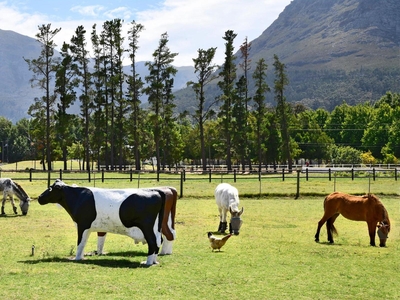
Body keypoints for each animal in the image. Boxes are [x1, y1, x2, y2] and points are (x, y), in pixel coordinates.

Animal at [38, 178, 166, 264]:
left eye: (50, 188)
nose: (39, 198)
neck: (78, 197)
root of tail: (156, 192)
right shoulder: (87, 227)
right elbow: (84, 242)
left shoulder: (82, 224)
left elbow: (80, 243)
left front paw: (77, 258)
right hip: (156, 228)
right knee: (159, 241)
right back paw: (154, 261)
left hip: (147, 226)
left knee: (153, 242)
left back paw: (147, 262)